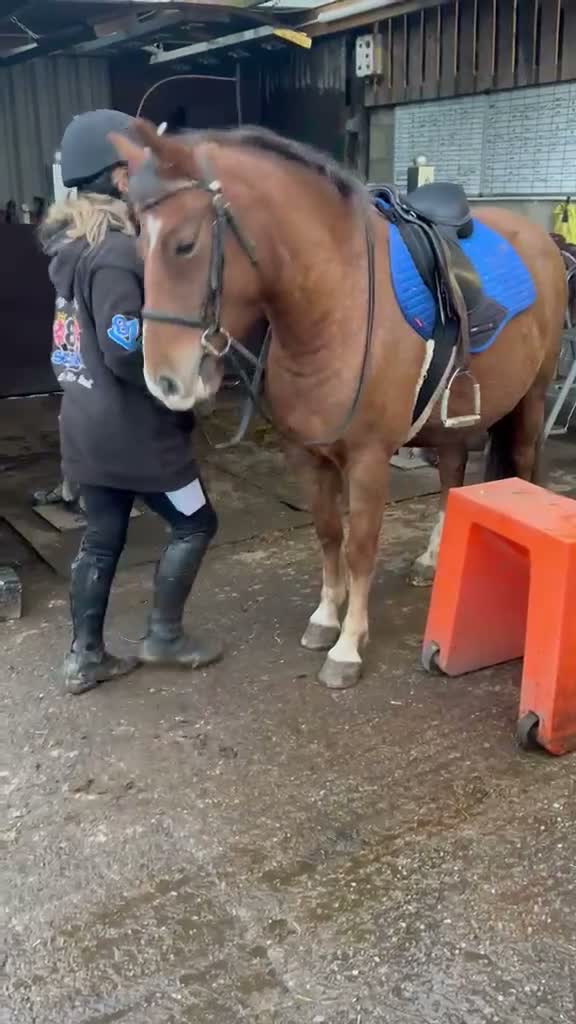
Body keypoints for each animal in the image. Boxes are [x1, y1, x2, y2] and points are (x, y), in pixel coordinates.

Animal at [111, 123, 566, 690]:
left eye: (184, 244)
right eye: (136, 242)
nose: (165, 381)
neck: (335, 304)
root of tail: (544, 242)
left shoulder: (369, 458)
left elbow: (360, 545)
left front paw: (348, 646)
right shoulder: (306, 455)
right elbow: (329, 534)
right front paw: (326, 618)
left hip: (531, 401)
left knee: (519, 472)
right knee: (452, 476)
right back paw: (432, 560)